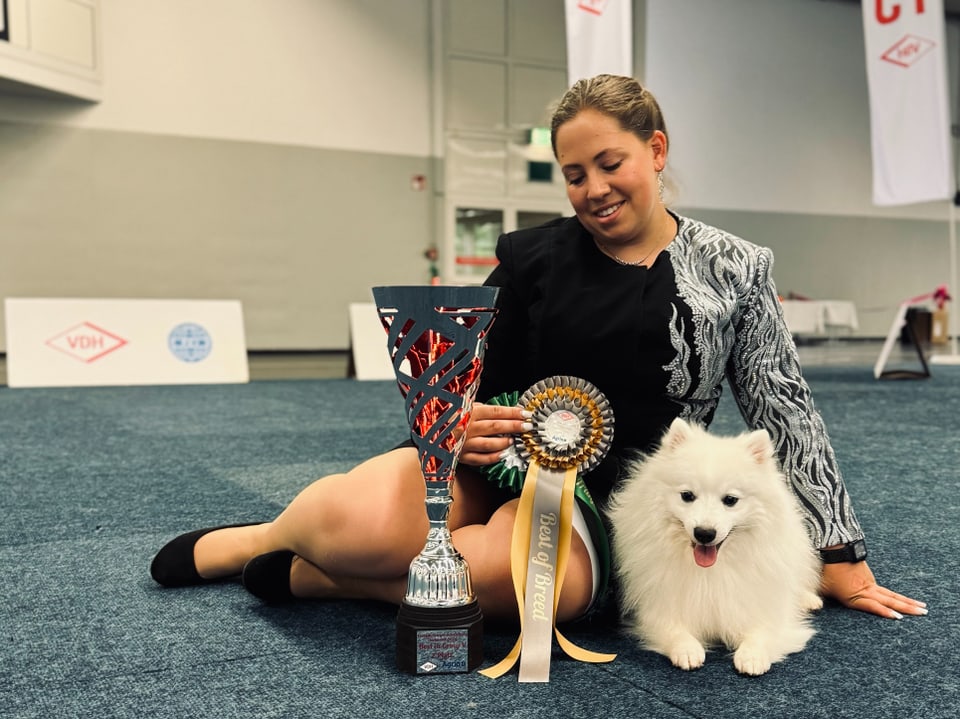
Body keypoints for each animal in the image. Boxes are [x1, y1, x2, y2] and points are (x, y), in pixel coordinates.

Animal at [608, 416, 824, 676]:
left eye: (730, 500)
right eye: (687, 496)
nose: (704, 533)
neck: (711, 570)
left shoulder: (762, 604)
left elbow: (763, 630)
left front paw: (752, 655)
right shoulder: (659, 604)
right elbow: (673, 628)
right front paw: (688, 649)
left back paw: (808, 599)